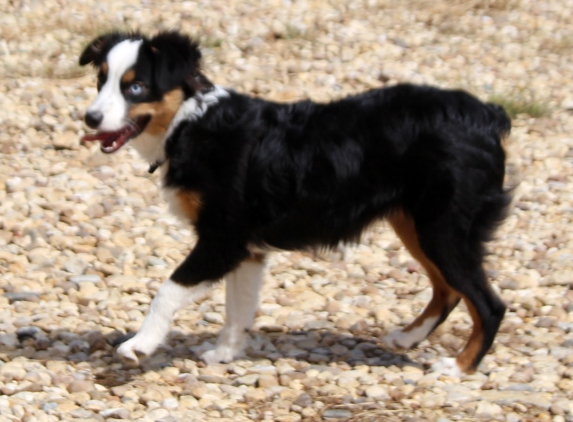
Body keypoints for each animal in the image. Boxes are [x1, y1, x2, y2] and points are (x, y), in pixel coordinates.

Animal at [77, 30, 510, 376]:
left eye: (135, 87)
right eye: (100, 80)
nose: (90, 118)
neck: (189, 123)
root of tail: (488, 114)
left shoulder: (222, 238)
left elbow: (167, 292)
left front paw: (139, 345)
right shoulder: (246, 249)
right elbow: (238, 307)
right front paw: (224, 354)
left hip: (443, 228)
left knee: (489, 304)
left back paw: (458, 367)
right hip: (416, 225)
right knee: (448, 290)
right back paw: (407, 338)